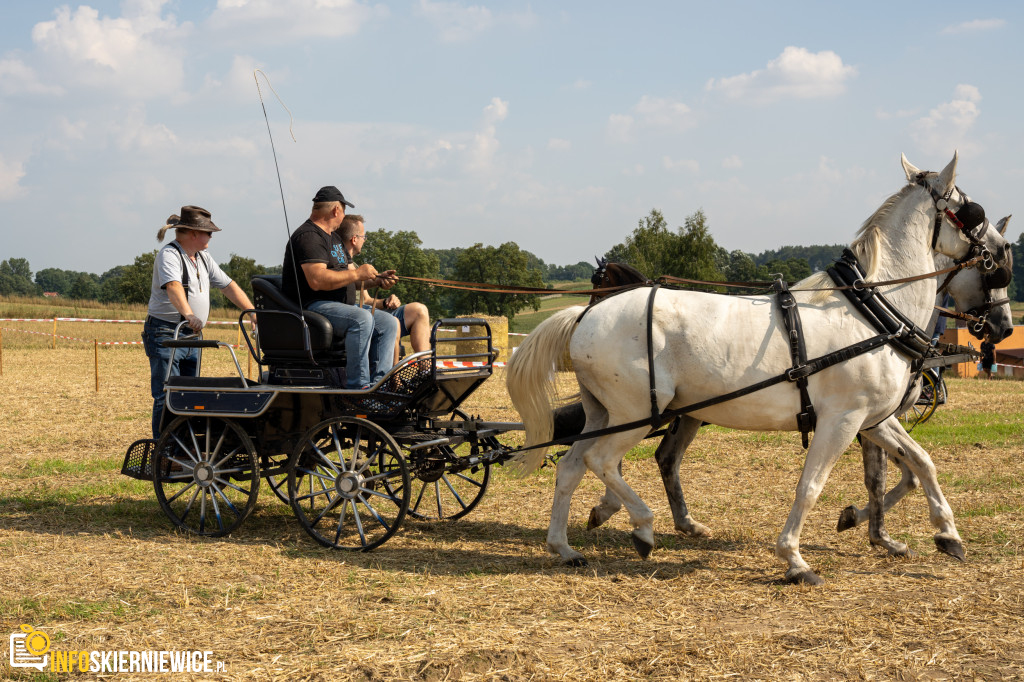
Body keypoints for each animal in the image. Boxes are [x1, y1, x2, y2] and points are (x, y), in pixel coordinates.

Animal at [507, 151, 1011, 581]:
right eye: (973, 212)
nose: (1003, 251)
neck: (871, 312)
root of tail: (585, 315)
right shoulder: (842, 419)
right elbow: (811, 485)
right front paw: (795, 558)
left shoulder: (873, 418)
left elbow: (921, 463)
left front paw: (947, 534)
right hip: (637, 413)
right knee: (602, 459)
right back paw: (644, 526)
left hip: (603, 412)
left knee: (571, 465)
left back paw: (564, 547)